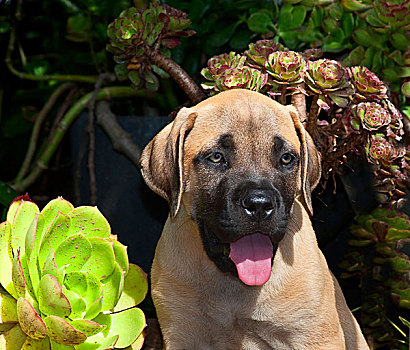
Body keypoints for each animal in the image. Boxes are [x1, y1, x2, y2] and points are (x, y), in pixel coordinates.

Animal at [139, 89, 368, 350]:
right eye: (216, 157)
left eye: (286, 158)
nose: (259, 205)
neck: (232, 286)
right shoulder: (183, 335)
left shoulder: (314, 337)